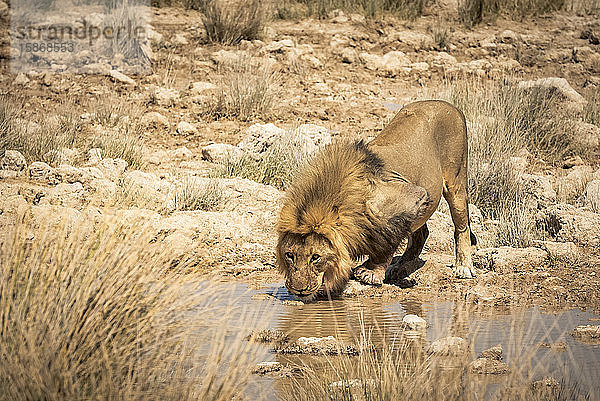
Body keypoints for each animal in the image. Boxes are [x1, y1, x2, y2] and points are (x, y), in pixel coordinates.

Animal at [276, 100, 478, 300]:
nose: (298, 289)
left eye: (315, 257)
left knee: (462, 226)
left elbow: (386, 243)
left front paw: (369, 273)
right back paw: (400, 266)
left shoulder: (411, 196)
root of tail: (450, 105)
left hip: (456, 181)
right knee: (421, 233)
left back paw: (463, 267)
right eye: (289, 255)